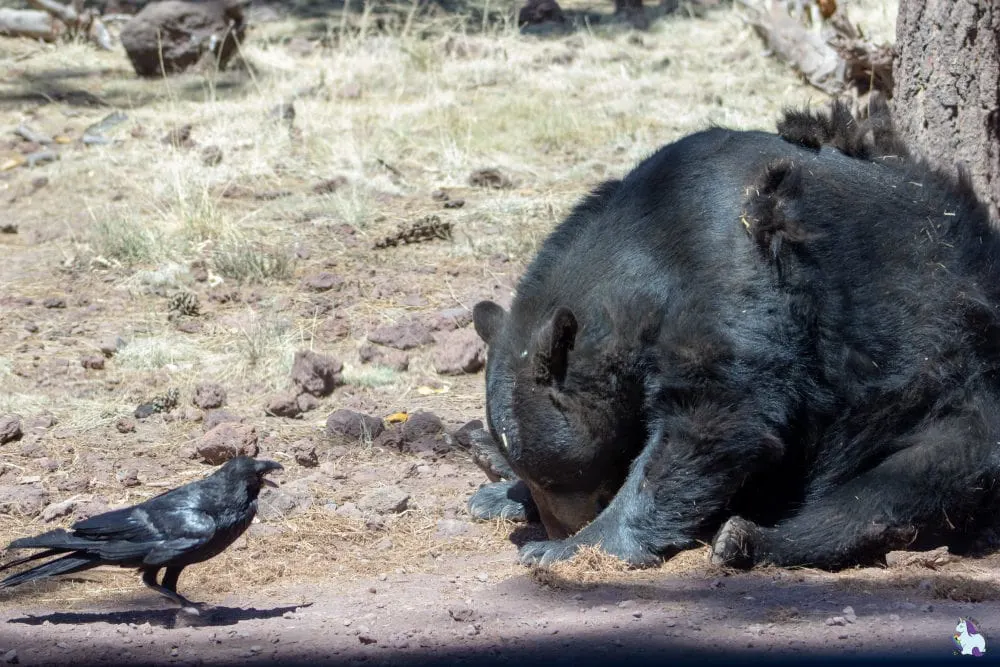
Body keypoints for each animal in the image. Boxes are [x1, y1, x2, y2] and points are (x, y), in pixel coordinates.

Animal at [466, 99, 1000, 568]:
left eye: (554, 475)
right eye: (535, 473)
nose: (560, 525)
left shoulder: (738, 280)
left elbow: (717, 415)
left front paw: (572, 546)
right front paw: (498, 491)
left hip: (945, 397)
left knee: (898, 486)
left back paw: (748, 540)